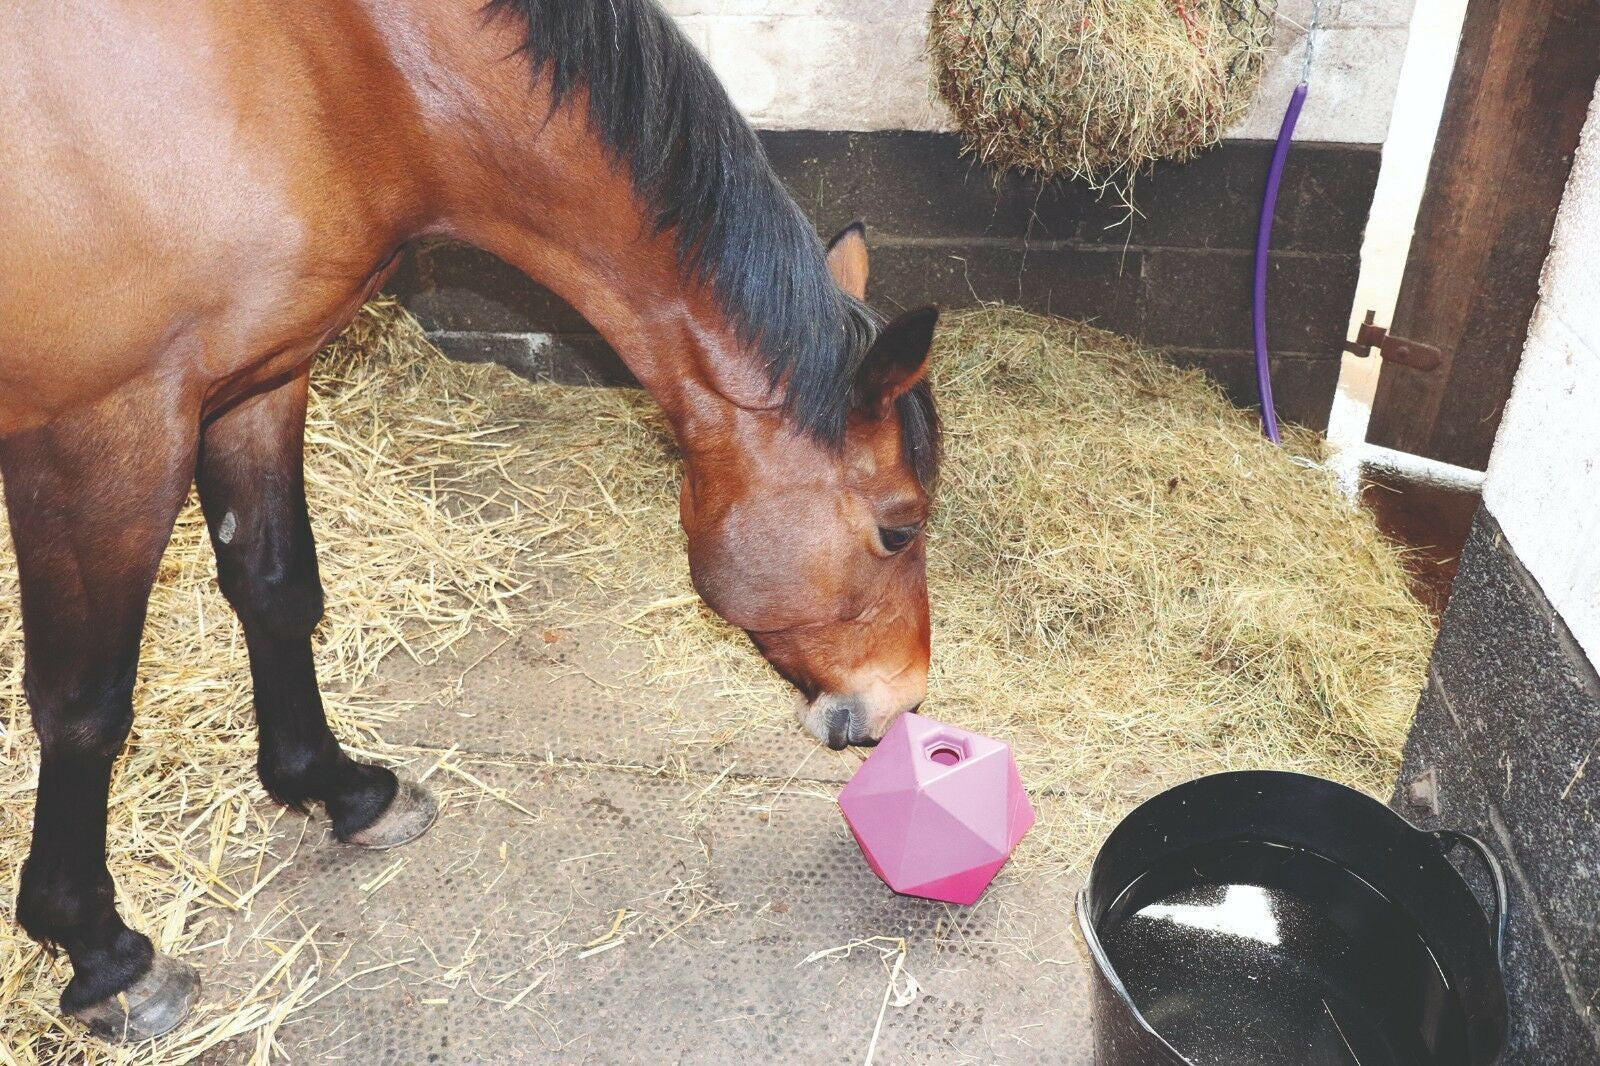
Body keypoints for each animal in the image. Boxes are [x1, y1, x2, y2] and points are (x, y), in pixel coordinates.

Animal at [0, 0, 941, 1041]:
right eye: (900, 527)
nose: (902, 701)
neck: (328, 66)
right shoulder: (100, 433)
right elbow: (86, 704)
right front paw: (102, 954)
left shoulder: (259, 378)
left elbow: (277, 588)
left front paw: (340, 788)